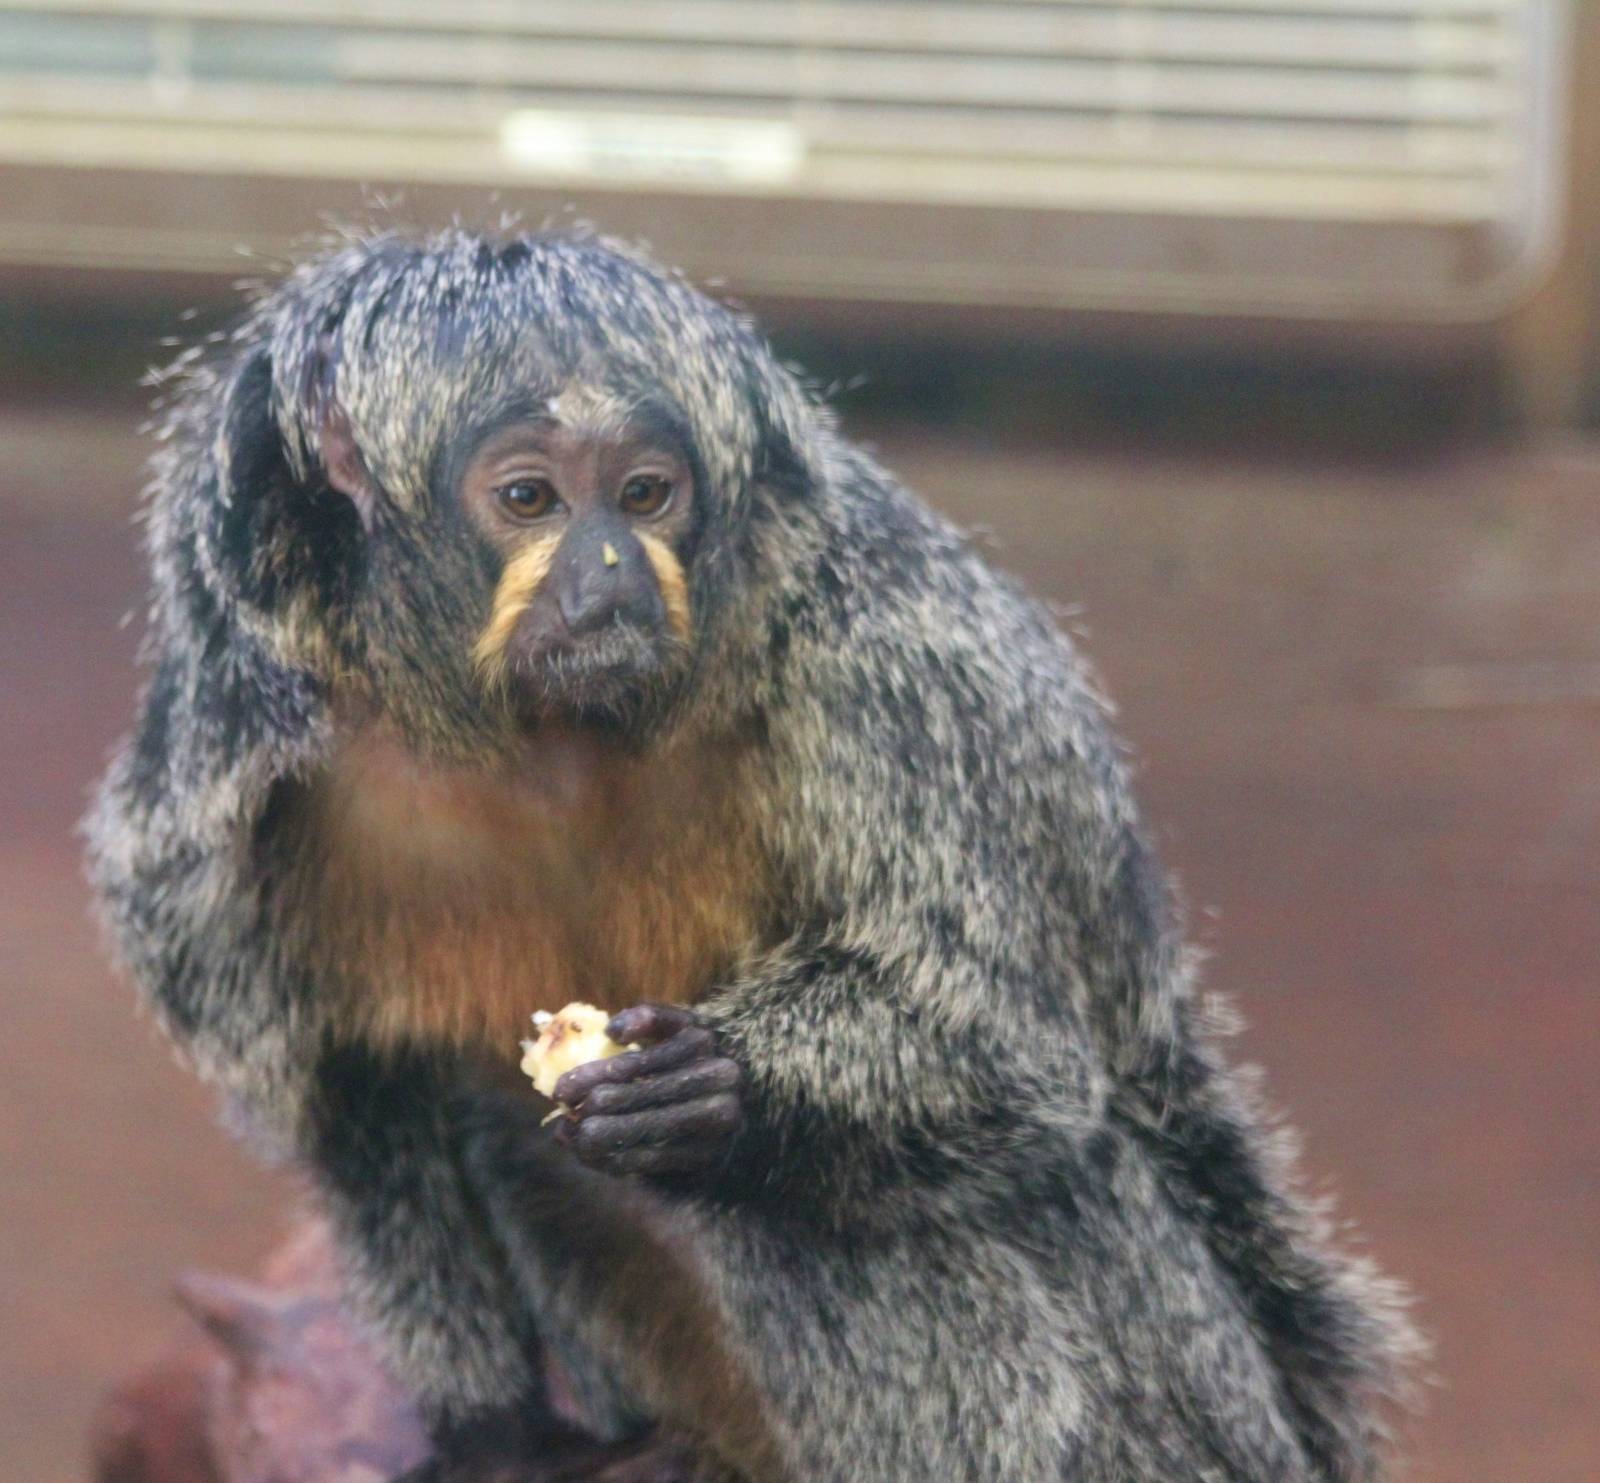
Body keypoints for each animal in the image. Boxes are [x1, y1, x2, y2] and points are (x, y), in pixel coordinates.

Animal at [86, 226, 1418, 1483]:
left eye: (645, 494)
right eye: (529, 500)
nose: (611, 569)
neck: (536, 735)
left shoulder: (895, 665)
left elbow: (1003, 1049)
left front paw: (722, 1086)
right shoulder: (215, 808)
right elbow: (363, 1094)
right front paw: (496, 1432)